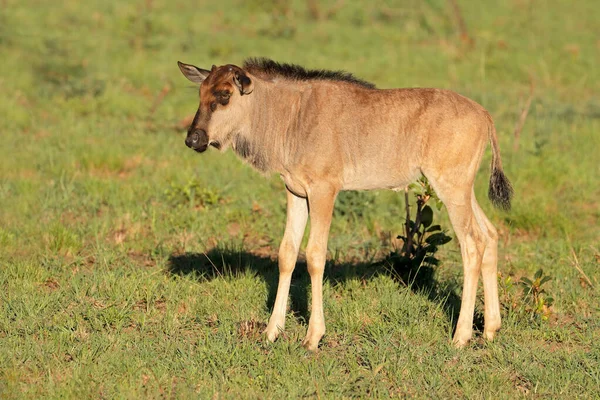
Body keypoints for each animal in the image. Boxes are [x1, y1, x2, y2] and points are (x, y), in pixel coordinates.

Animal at [177, 57, 510, 350]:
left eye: (224, 95)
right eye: (200, 93)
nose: (193, 139)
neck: (291, 115)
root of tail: (484, 115)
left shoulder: (324, 191)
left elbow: (314, 256)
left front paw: (312, 337)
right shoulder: (296, 192)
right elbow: (287, 253)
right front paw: (272, 331)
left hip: (450, 188)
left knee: (472, 244)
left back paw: (461, 337)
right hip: (462, 189)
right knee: (490, 234)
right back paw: (491, 330)